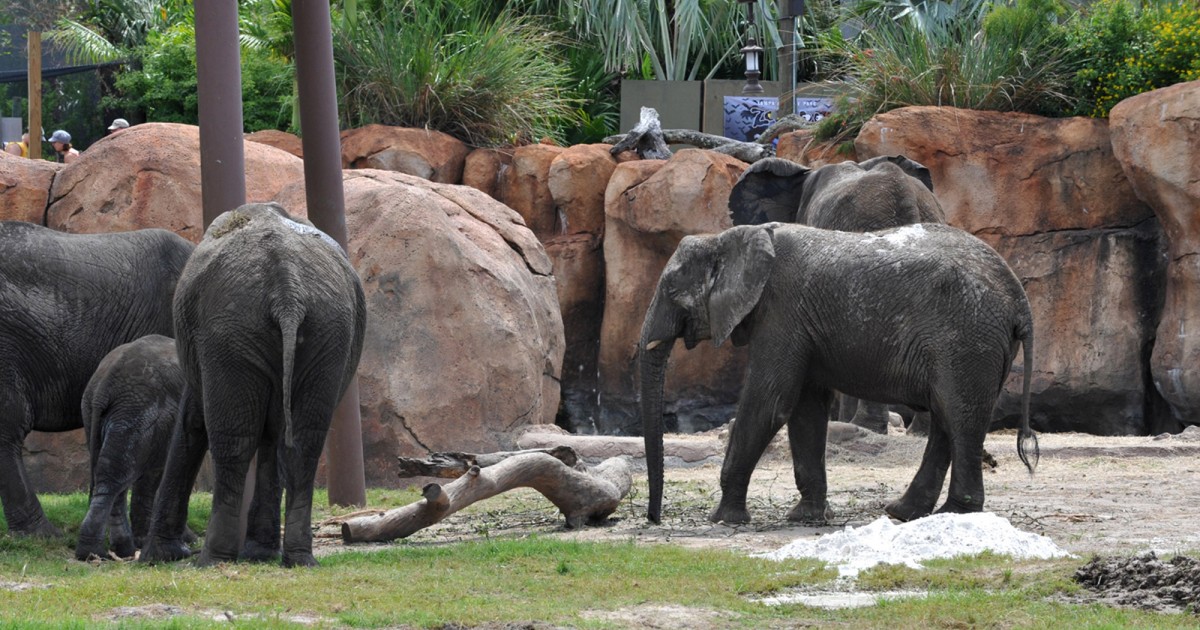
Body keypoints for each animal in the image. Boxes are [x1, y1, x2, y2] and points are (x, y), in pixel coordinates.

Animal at [75, 333, 199, 559]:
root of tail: (103, 385)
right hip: (140, 412)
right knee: (125, 474)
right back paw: (101, 552)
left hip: (98, 411)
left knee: (114, 473)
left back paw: (118, 550)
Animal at [140, 204, 364, 566]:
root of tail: (288, 290)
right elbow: (274, 436)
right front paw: (261, 552)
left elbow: (193, 422)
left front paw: (155, 557)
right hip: (328, 329)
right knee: (305, 441)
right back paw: (299, 559)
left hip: (230, 330)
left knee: (233, 441)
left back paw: (213, 559)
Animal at [638, 223, 1041, 523]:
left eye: (671, 289)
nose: (653, 518)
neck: (731, 236)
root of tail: (1020, 299)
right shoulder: (800, 325)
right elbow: (806, 409)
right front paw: (806, 517)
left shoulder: (783, 312)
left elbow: (770, 402)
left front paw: (723, 519)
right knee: (949, 417)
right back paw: (905, 512)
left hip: (967, 337)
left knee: (960, 416)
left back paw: (954, 514)